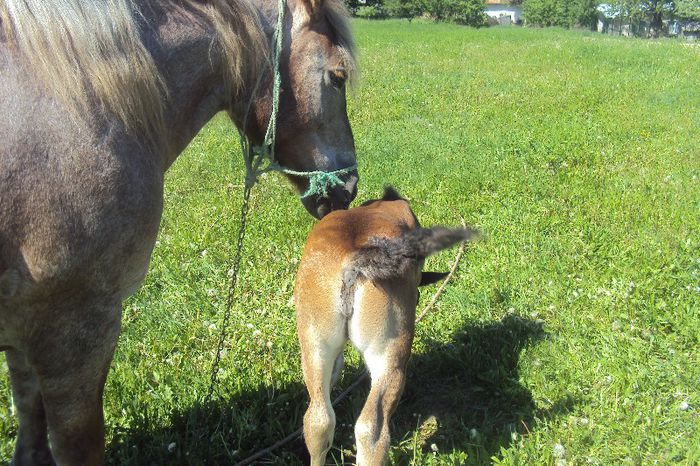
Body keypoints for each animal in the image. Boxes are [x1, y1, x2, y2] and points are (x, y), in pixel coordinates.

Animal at [0, 0, 358, 462]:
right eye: (338, 75)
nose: (350, 185)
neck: (85, 104)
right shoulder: (75, 331)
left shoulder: (25, 337)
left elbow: (30, 436)